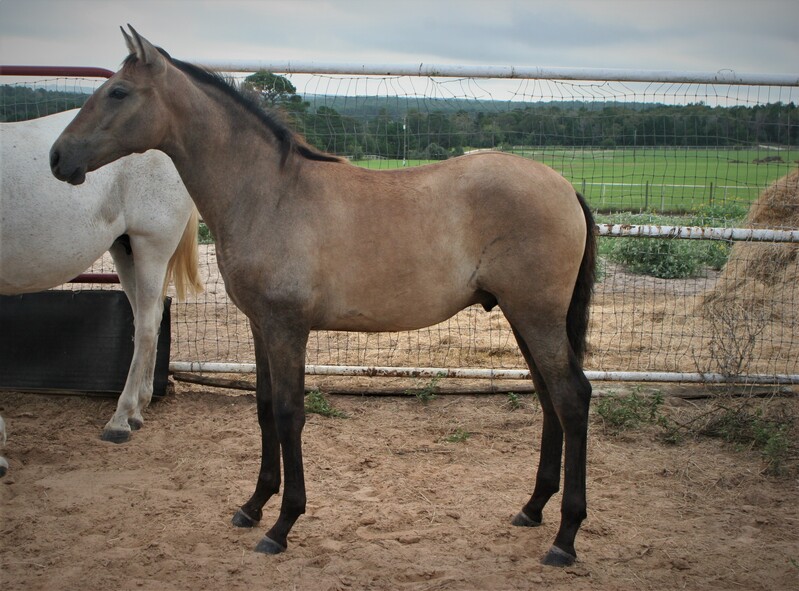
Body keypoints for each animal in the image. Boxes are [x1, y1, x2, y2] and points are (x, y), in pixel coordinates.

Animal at [1, 109, 203, 467]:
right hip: (124, 249)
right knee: (148, 318)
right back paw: (137, 409)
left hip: (151, 245)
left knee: (147, 325)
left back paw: (120, 421)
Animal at [50, 27, 596, 567]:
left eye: (119, 92)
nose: (58, 157)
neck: (269, 195)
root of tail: (565, 187)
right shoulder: (261, 326)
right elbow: (265, 407)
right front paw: (253, 506)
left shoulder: (288, 328)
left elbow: (290, 414)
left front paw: (282, 525)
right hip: (522, 317)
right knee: (549, 398)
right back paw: (532, 508)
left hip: (536, 316)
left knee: (572, 397)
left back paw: (565, 537)